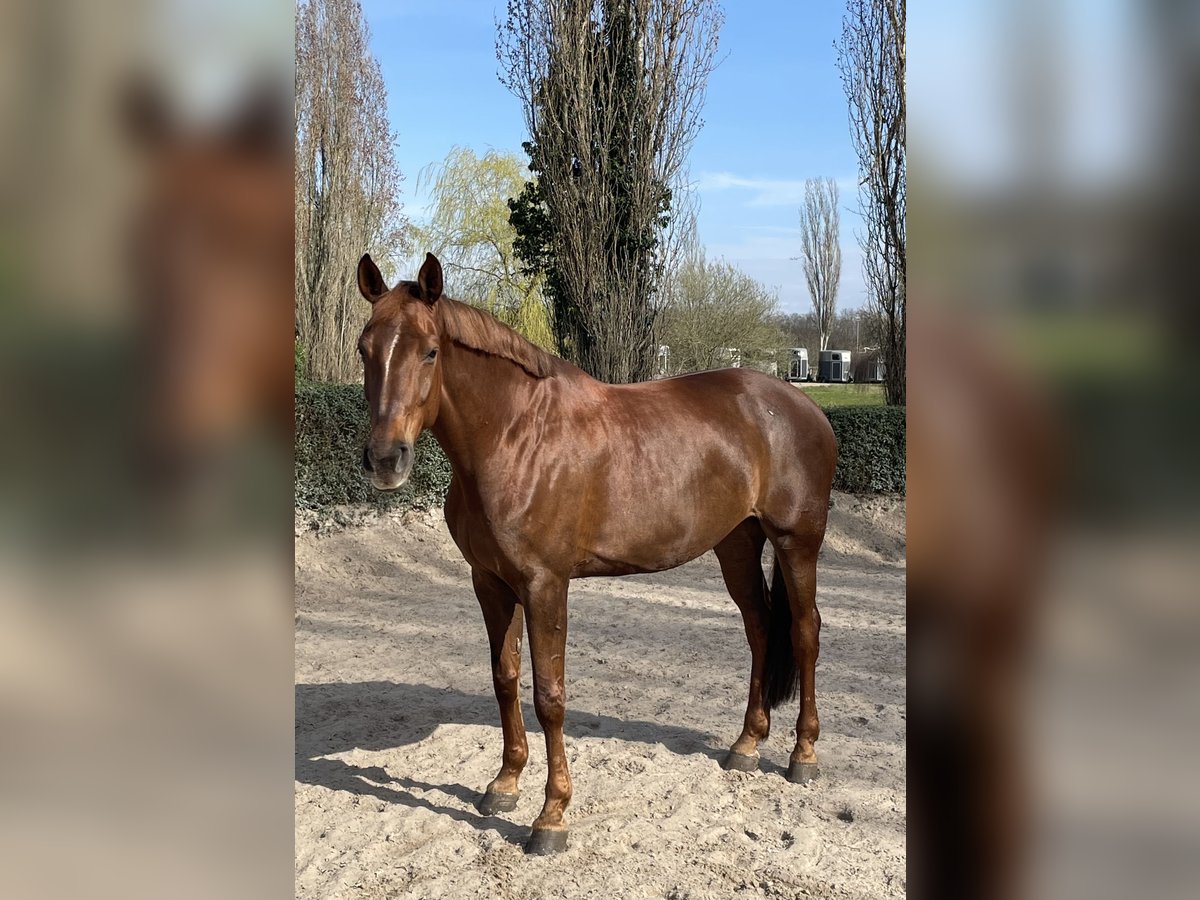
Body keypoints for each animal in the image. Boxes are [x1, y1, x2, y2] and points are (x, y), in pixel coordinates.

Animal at [355, 252, 835, 854]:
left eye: (430, 351)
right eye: (364, 349)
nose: (385, 459)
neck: (517, 436)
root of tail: (803, 406)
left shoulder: (545, 585)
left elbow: (550, 696)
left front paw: (551, 816)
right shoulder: (490, 583)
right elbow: (504, 678)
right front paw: (505, 783)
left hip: (797, 544)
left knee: (804, 631)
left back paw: (803, 754)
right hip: (738, 544)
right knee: (761, 628)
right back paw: (746, 745)